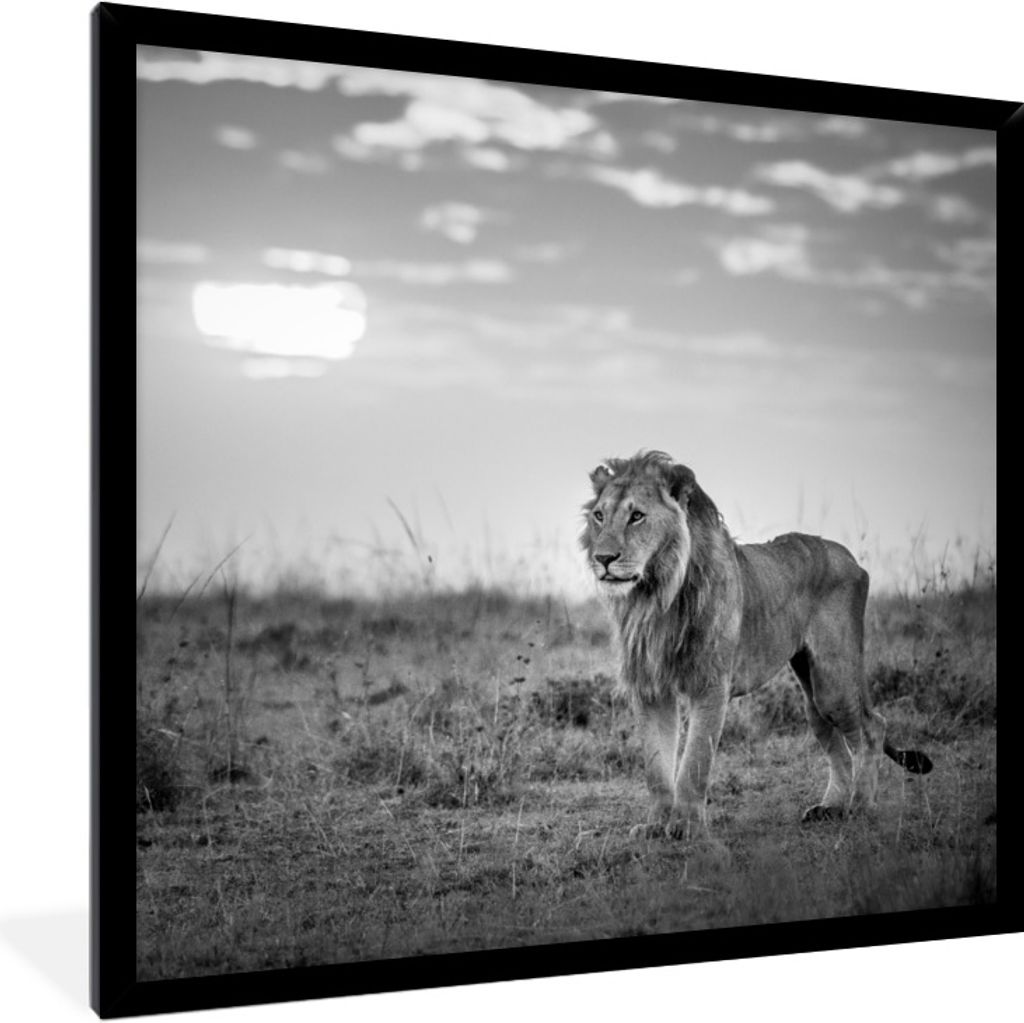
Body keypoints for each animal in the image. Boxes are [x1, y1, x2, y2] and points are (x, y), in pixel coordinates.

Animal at [580, 450, 932, 842]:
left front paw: (686, 826)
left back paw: (860, 806)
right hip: (811, 691)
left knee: (872, 728)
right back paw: (831, 808)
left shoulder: (711, 685)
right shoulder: (650, 688)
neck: (657, 596)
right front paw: (656, 826)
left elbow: (695, 762)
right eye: (599, 516)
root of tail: (850, 557)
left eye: (637, 516)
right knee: (836, 744)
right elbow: (656, 767)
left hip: (834, 682)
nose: (602, 559)